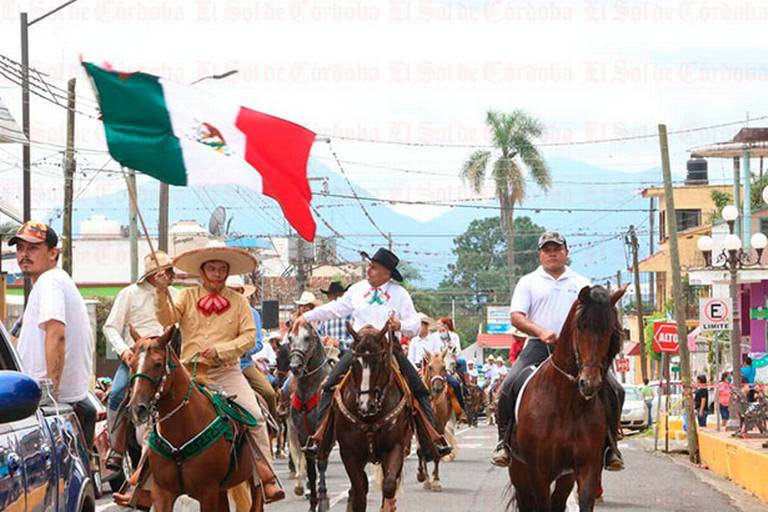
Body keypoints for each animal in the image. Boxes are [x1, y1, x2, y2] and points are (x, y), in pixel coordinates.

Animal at [129, 328, 264, 512]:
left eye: (157, 364)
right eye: (131, 364)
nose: (137, 408)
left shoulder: (207, 491)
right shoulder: (163, 492)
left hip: (253, 483)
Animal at [332, 324, 412, 512]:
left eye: (379, 361)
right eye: (354, 362)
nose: (365, 405)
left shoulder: (395, 447)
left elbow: (388, 485)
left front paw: (389, 505)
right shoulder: (349, 453)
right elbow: (360, 491)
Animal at [416, 348, 452, 492]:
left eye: (444, 367)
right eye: (430, 367)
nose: (438, 388)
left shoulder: (440, 426)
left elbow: (436, 449)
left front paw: (436, 481)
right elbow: (420, 450)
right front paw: (423, 477)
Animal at [508, 286, 628, 510]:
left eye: (610, 329)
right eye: (580, 326)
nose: (589, 383)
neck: (565, 403)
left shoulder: (586, 467)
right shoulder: (539, 472)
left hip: (565, 476)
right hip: (519, 470)